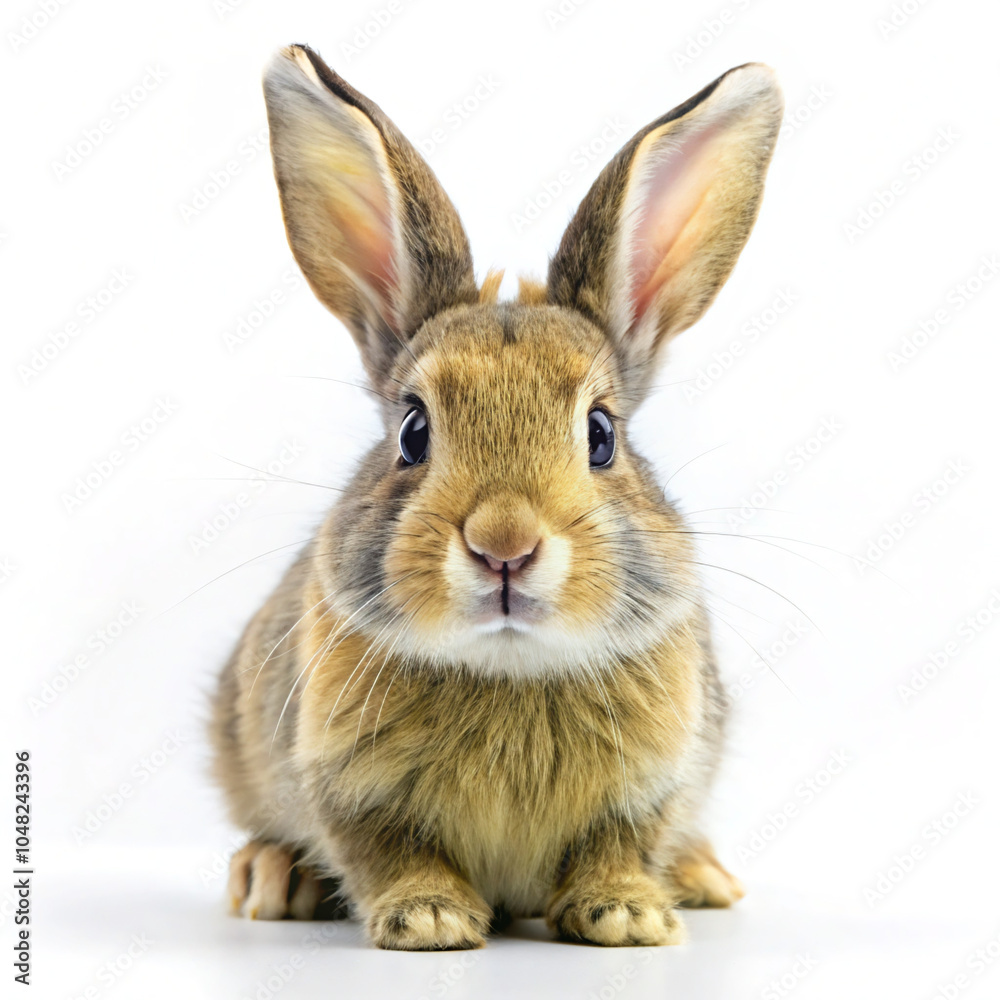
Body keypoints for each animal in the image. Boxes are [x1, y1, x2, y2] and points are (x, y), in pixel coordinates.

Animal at [210, 43, 783, 950]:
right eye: (413, 431)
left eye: (601, 433)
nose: (504, 545)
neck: (509, 666)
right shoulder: (347, 788)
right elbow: (387, 851)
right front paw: (429, 918)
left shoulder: (653, 784)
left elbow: (619, 844)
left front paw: (626, 916)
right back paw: (271, 878)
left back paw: (701, 878)